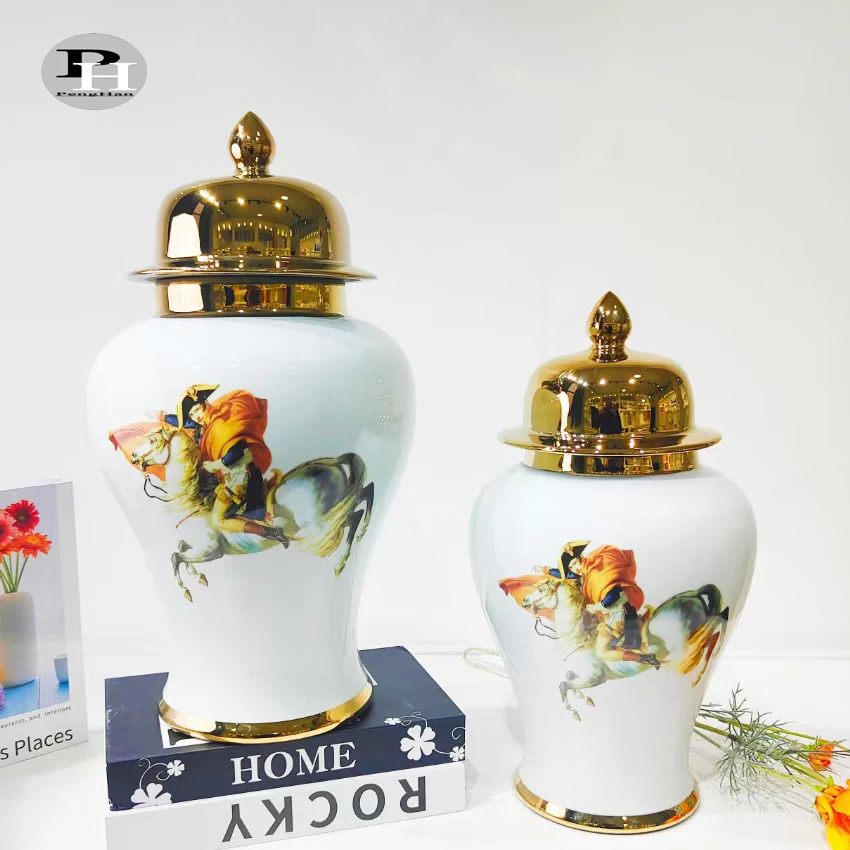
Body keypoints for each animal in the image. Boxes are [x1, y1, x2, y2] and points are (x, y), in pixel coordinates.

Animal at [127, 424, 374, 600]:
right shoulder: (199, 545)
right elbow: (180, 548)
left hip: (320, 521)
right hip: (334, 509)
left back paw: (343, 560)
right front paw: (198, 576)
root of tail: (331, 462)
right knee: (363, 497)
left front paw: (186, 589)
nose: (135, 458)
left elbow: (175, 557)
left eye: (152, 440)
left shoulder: (211, 550)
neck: (202, 500)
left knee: (355, 513)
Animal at [502, 574, 728, 721]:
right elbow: (568, 679)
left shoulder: (595, 678)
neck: (579, 637)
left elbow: (563, 685)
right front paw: (584, 699)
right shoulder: (581, 674)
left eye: (541, 589)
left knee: (718, 619)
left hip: (683, 638)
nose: (525, 600)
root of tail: (693, 594)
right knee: (713, 627)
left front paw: (574, 712)